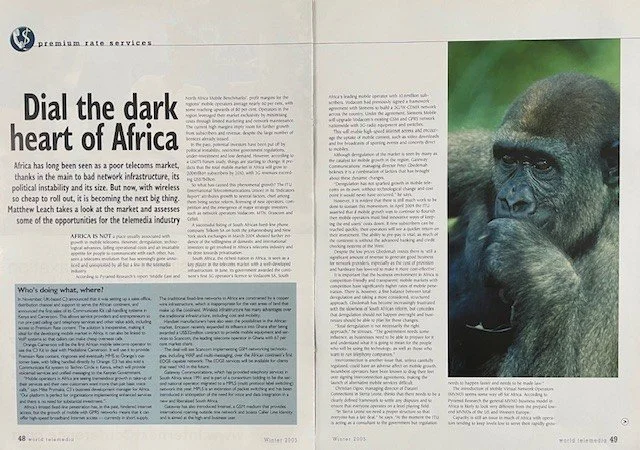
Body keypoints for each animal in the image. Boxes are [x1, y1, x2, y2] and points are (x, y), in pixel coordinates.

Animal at [448, 73, 619, 377]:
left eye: (542, 165)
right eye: (508, 159)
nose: (512, 200)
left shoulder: (612, 267)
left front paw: (538, 270)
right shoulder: (482, 157)